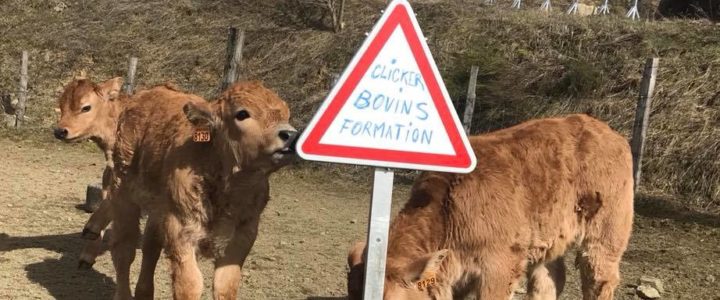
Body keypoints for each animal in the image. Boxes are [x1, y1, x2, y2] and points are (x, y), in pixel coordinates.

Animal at [107, 80, 298, 300]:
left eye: (287, 115)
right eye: (242, 113)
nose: (290, 135)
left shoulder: (242, 237)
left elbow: (225, 286)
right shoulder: (181, 229)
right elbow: (190, 285)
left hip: (157, 209)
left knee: (150, 247)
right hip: (123, 192)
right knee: (124, 250)